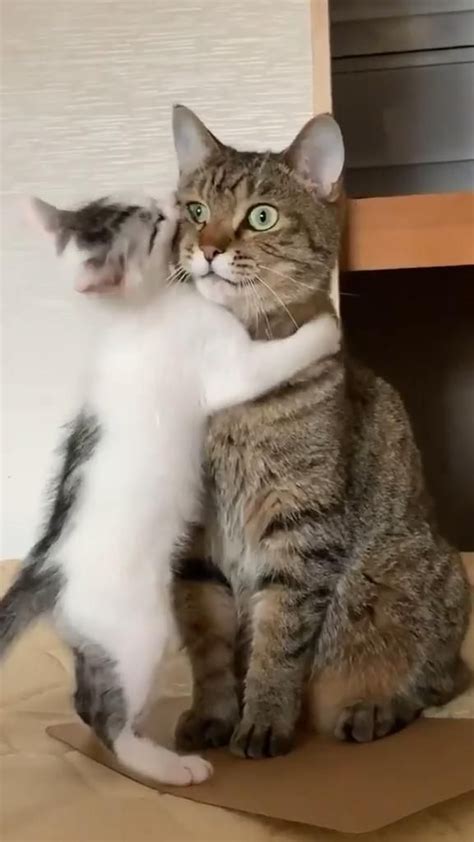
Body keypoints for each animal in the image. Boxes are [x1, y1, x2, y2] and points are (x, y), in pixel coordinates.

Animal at [0, 190, 340, 780]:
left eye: (139, 204)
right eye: (155, 225)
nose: (167, 203)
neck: (135, 313)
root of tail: (46, 565)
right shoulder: (227, 369)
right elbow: (271, 358)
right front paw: (326, 328)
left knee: (85, 699)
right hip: (142, 632)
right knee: (107, 715)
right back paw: (169, 766)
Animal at [170, 105, 470, 756]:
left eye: (261, 216)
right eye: (195, 211)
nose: (206, 248)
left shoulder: (301, 528)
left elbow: (278, 643)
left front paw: (262, 721)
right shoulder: (194, 540)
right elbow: (207, 646)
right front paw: (211, 714)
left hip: (413, 580)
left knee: (441, 680)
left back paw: (372, 708)